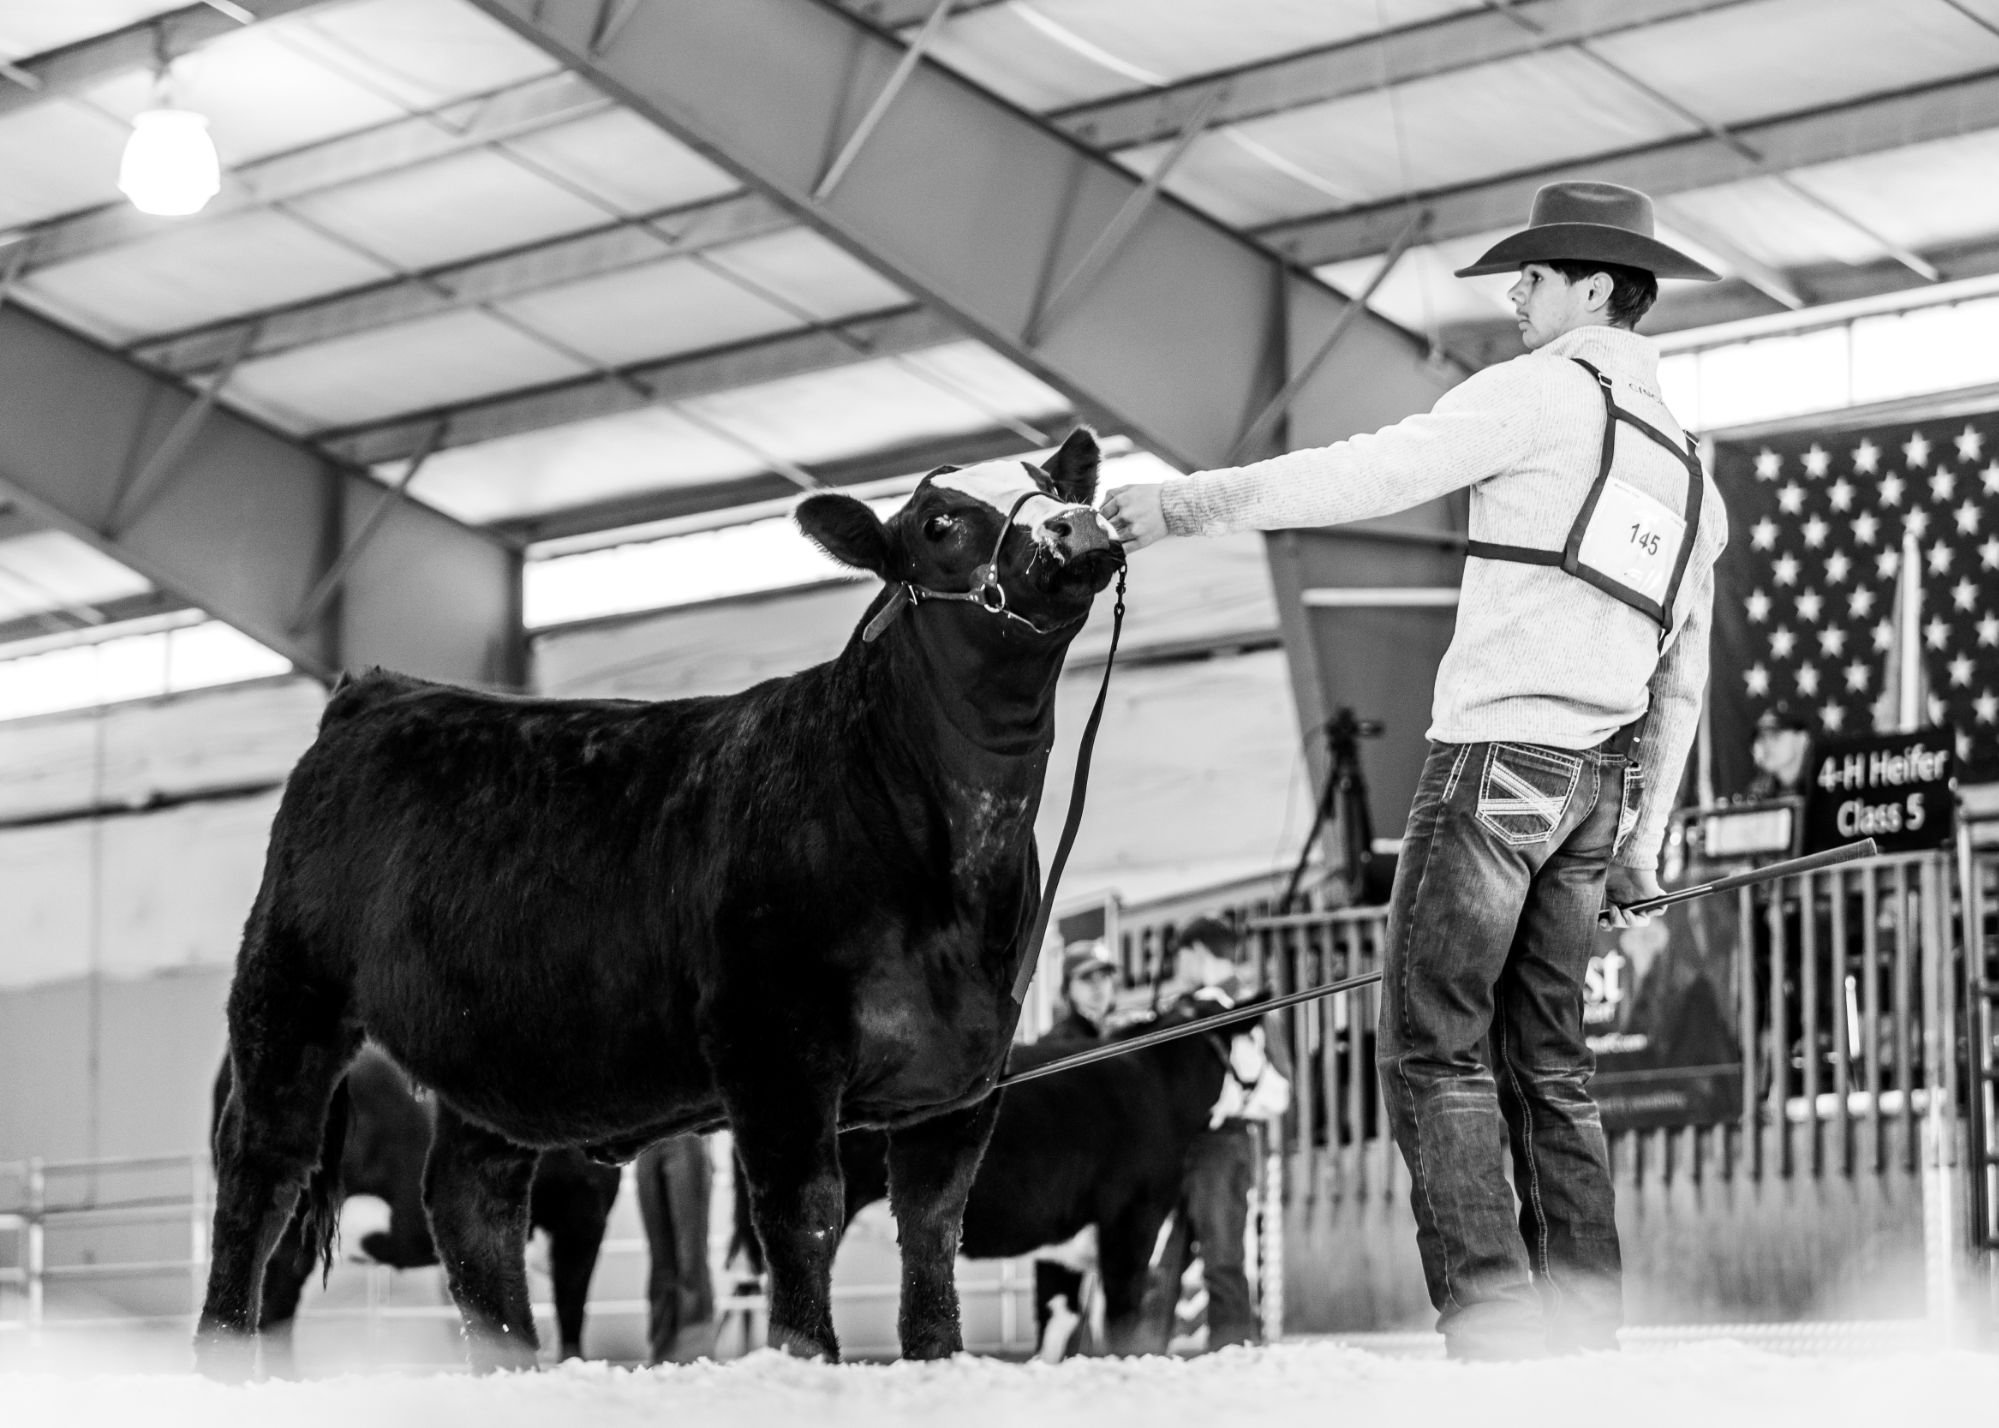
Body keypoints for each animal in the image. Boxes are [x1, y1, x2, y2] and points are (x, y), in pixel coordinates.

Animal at [733, 999, 1279, 1355]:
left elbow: (1058, 1322)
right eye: (1261, 1043)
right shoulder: (1131, 1219)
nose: (1286, 1088)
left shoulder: (1066, 1241)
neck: (1159, 1079)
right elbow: (1125, 1316)